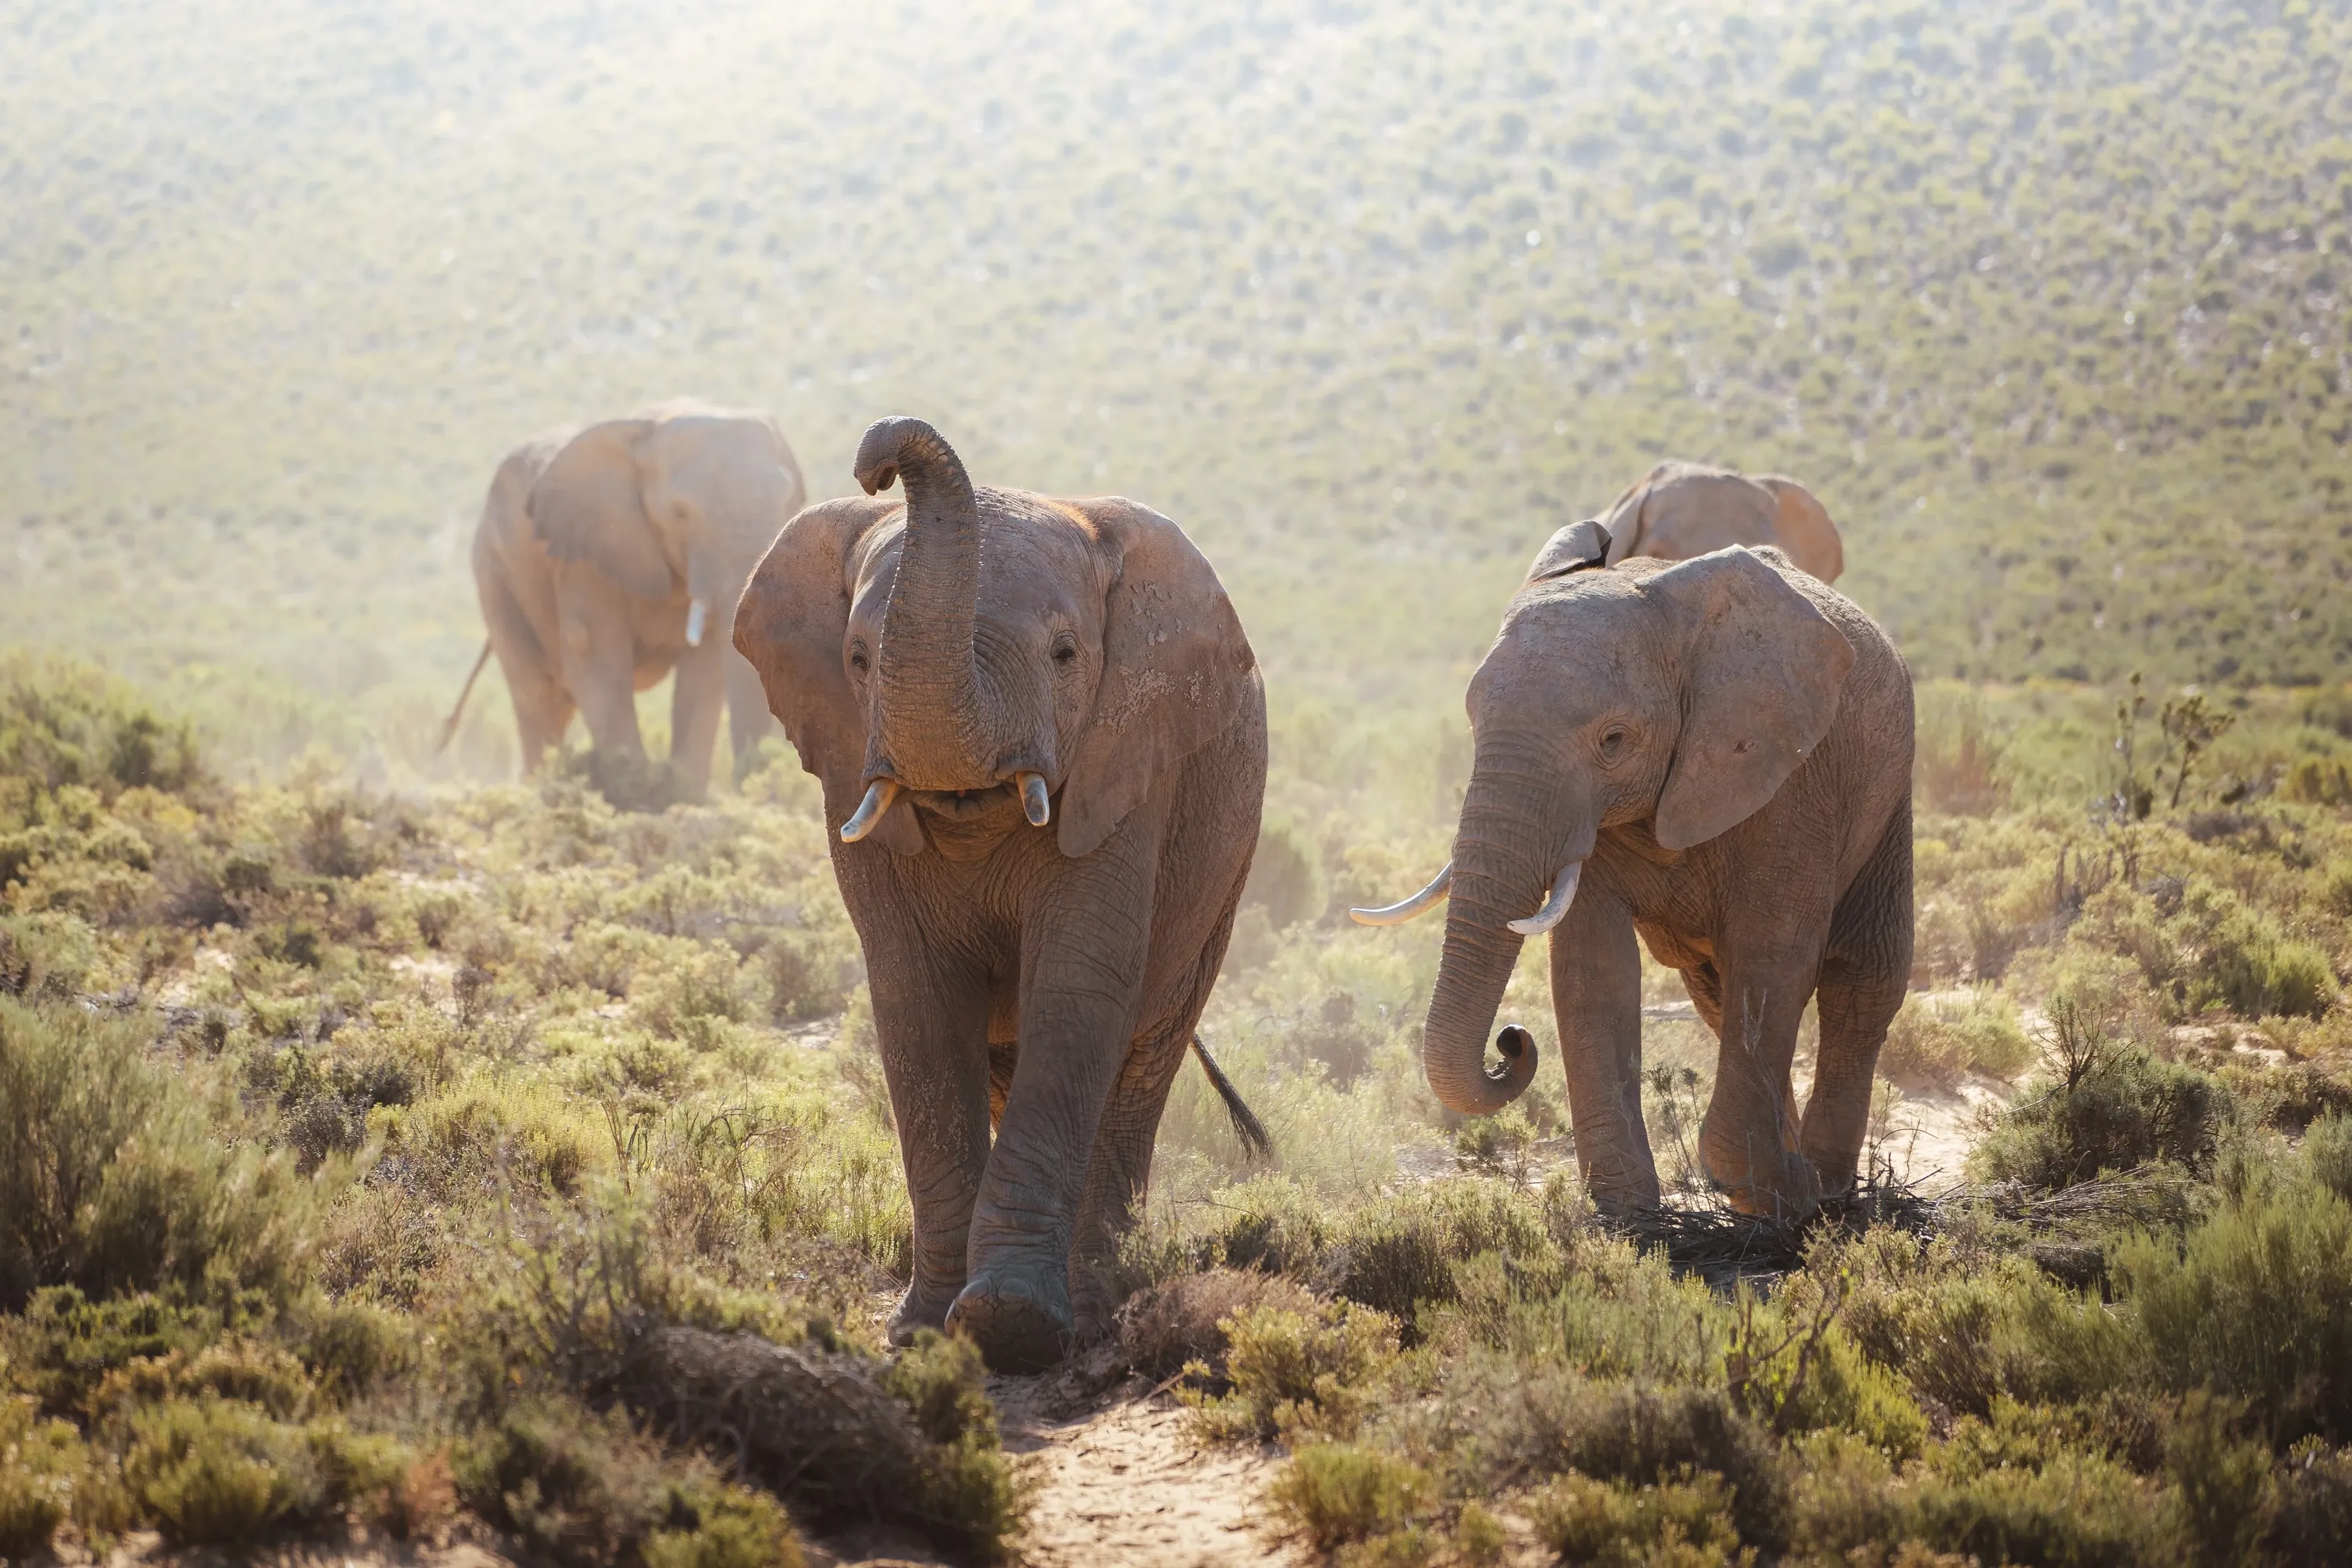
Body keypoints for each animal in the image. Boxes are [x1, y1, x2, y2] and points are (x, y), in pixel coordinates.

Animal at [438, 402, 804, 801]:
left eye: (787, 504)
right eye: (679, 513)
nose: (759, 786)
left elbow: (704, 671)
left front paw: (684, 793)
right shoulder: (585, 549)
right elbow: (595, 653)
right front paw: (640, 793)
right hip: (495, 571)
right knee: (536, 691)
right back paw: (540, 786)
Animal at [731, 415, 1269, 1370]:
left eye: (1064, 654)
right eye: (858, 660)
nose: (876, 463)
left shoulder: (1129, 765)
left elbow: (1076, 987)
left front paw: (1010, 1323)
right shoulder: (846, 769)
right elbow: (915, 999)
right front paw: (926, 1330)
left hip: (1223, 865)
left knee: (1142, 1059)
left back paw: (1096, 1302)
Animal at [1353, 526, 1911, 1219]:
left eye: (1613, 740)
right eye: (1473, 724)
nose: (1510, 1042)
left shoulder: (1792, 780)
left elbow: (1774, 953)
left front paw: (1784, 1195)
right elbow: (1594, 964)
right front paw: (1630, 1211)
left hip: (1889, 791)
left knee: (1861, 980)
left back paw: (1825, 1187)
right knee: (1715, 994)